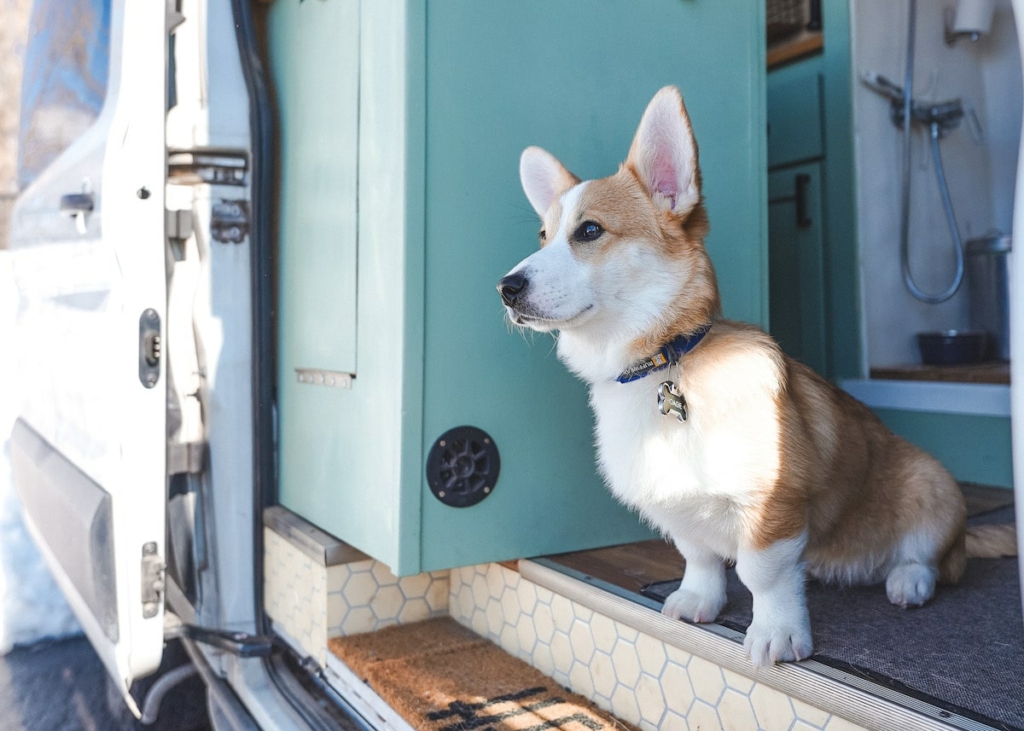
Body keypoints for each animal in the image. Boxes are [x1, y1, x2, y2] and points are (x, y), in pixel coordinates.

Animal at [497, 87, 1015, 667]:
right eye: (542, 236)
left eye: (589, 231)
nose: (506, 288)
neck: (664, 363)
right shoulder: (679, 509)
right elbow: (698, 556)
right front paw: (697, 601)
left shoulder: (772, 507)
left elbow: (762, 575)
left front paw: (779, 635)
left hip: (933, 488)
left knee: (929, 560)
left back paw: (908, 582)